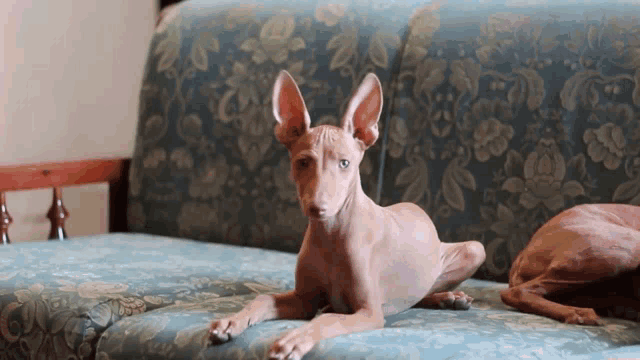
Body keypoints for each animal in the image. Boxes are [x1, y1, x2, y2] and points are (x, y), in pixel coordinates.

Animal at [209, 71, 484, 360]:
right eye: (303, 162)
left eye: (344, 163)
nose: (317, 207)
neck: (330, 234)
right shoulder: (304, 300)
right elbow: (263, 299)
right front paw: (230, 322)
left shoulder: (369, 312)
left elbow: (327, 320)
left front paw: (293, 339)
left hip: (474, 249)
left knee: (420, 291)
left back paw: (450, 297)